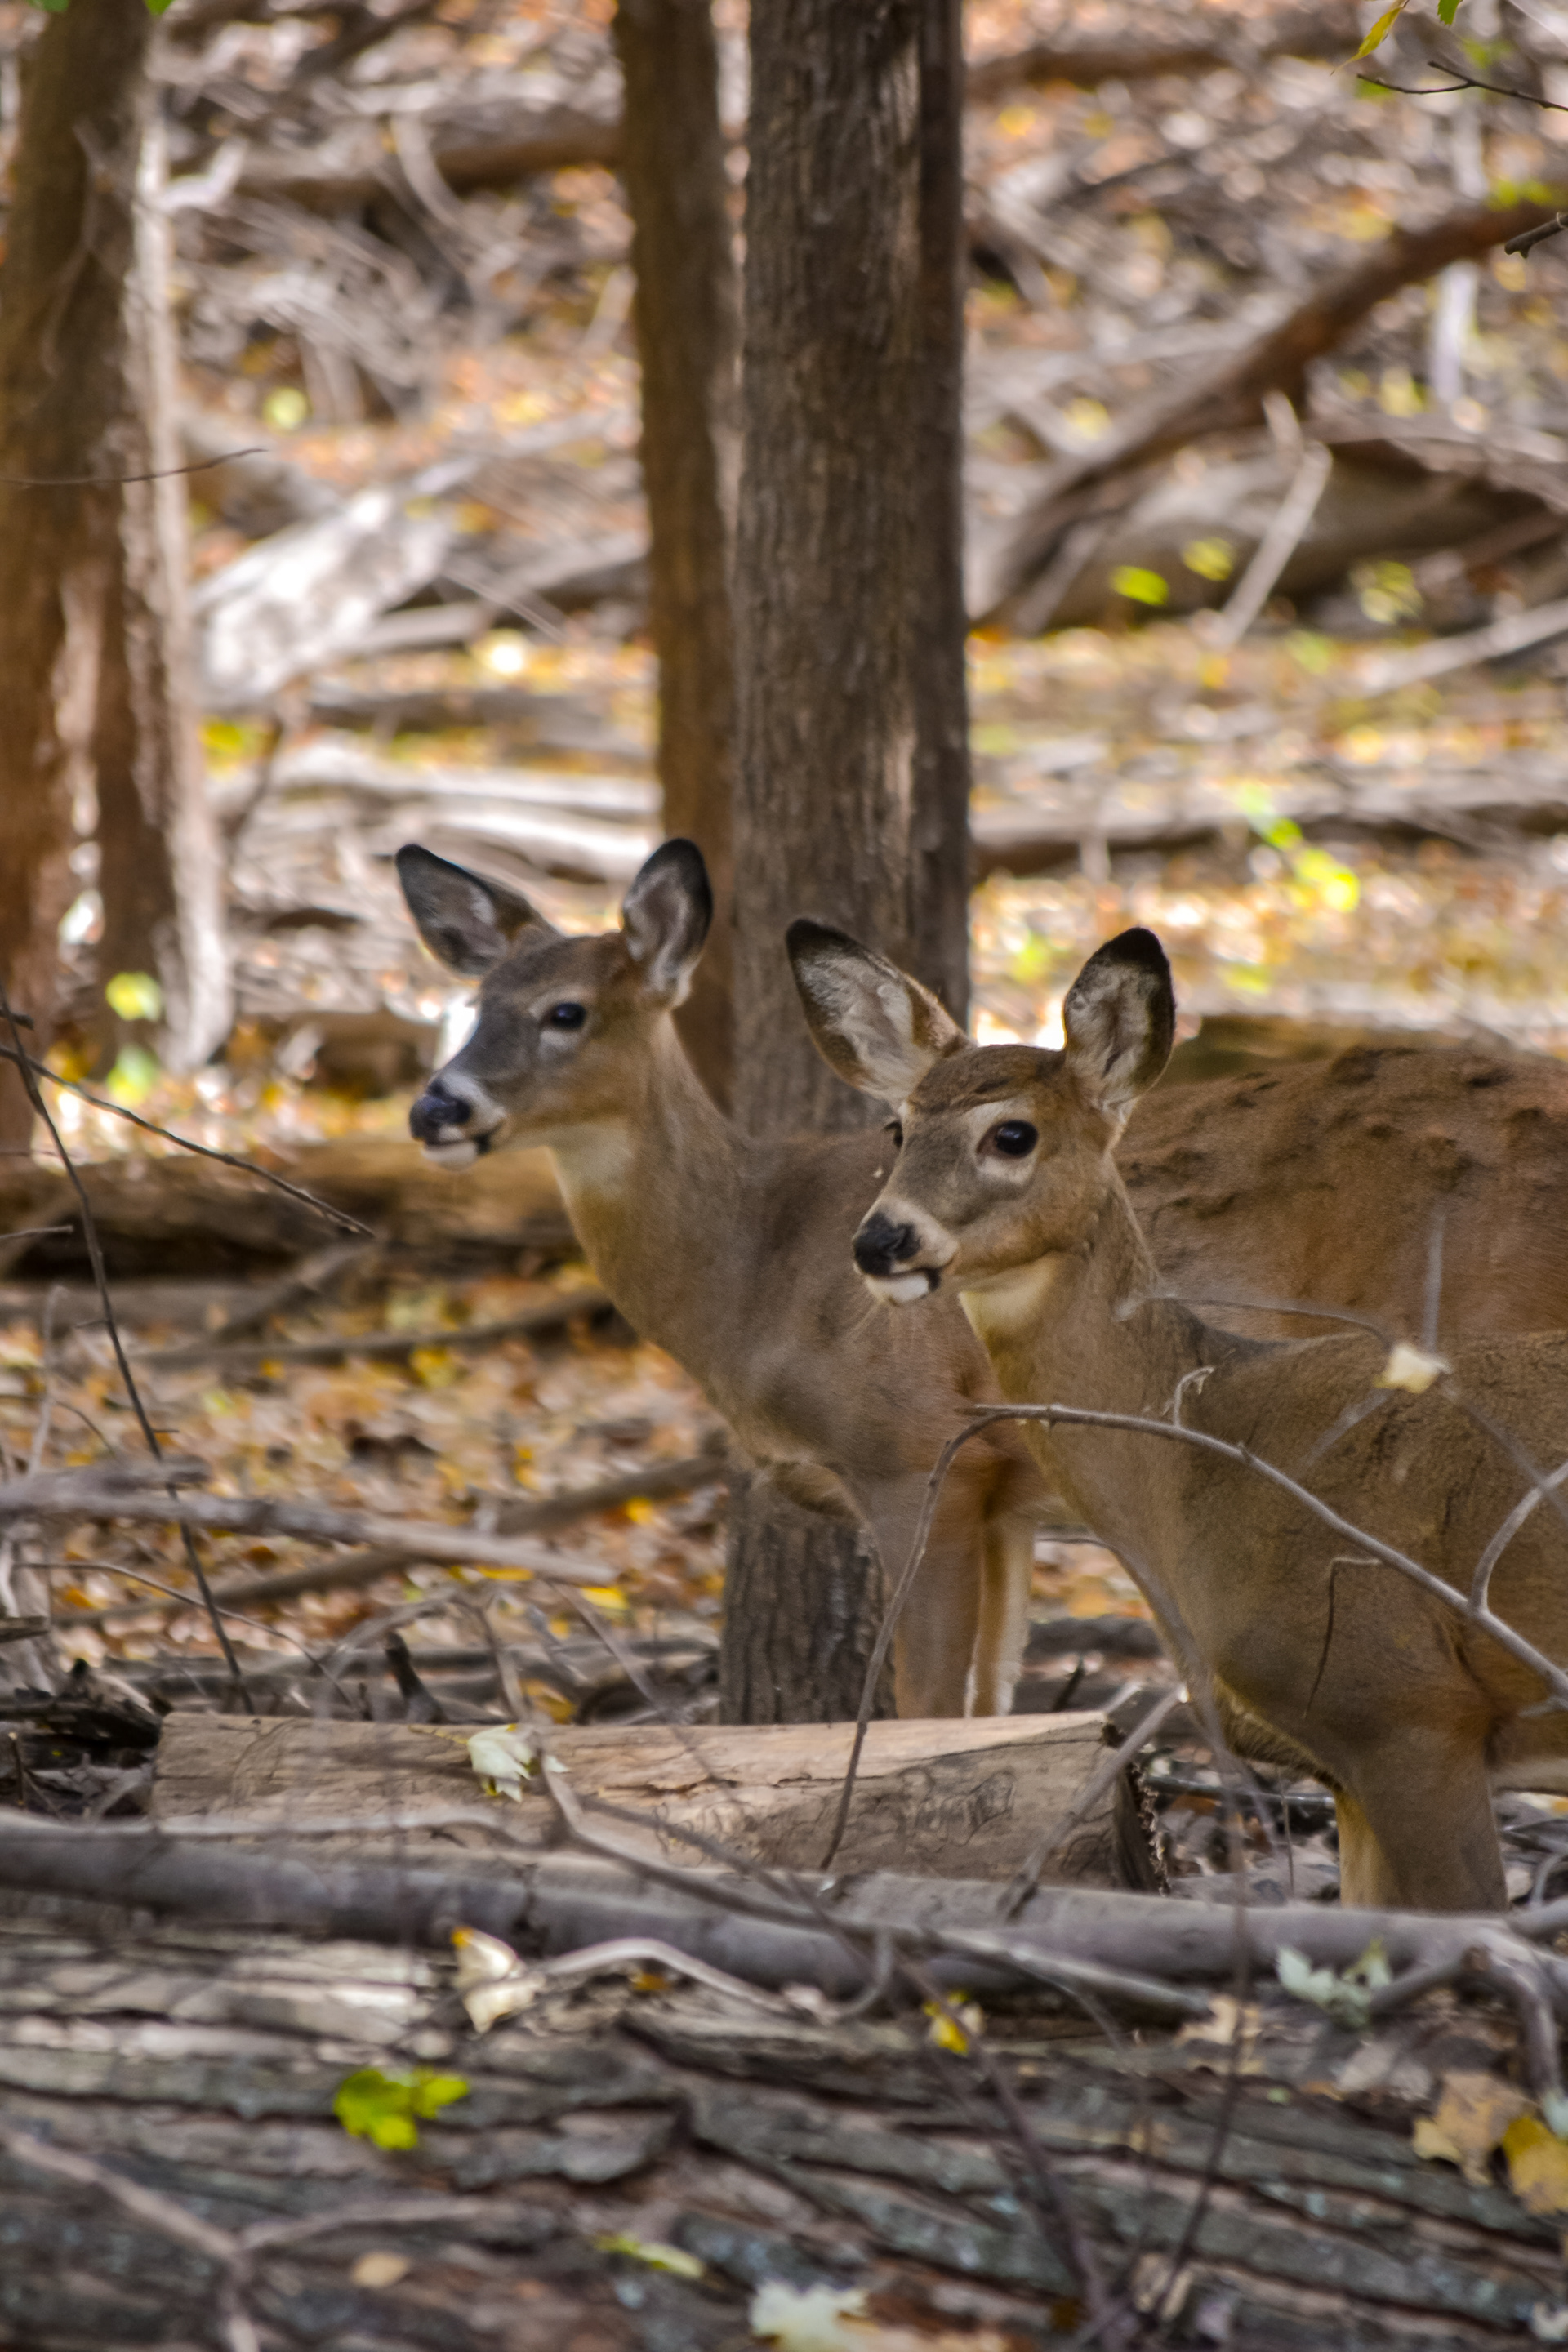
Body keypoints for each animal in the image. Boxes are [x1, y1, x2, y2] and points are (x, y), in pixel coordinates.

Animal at [787, 915, 1568, 1908]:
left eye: (1012, 1133)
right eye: (897, 1125)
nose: (881, 1241)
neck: (1207, 1458)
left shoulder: (1408, 1709)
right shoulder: (1348, 1765)